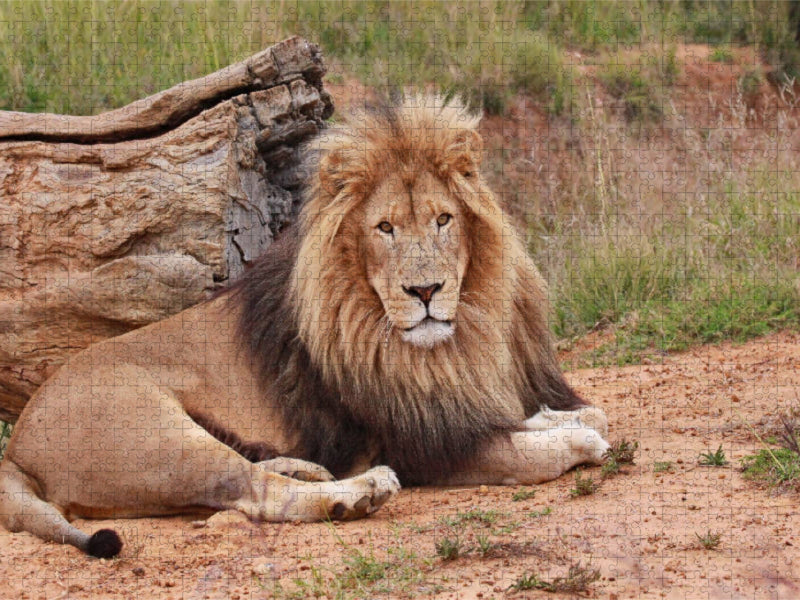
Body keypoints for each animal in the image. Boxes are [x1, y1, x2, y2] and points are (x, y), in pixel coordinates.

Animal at [0, 95, 609, 558]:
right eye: (384, 228)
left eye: (443, 220)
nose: (426, 292)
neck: (438, 347)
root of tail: (17, 445)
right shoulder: (421, 444)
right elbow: (532, 452)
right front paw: (576, 438)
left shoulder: (453, 403)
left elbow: (556, 416)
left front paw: (560, 416)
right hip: (156, 436)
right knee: (254, 492)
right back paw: (356, 491)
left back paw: (312, 469)